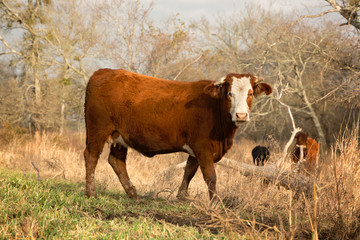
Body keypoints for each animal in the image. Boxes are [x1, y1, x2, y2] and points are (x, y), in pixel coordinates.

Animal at [83, 68, 272, 200]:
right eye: (229, 93)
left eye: (250, 93)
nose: (241, 115)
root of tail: (102, 72)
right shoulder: (202, 147)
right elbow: (210, 176)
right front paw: (216, 202)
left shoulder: (196, 149)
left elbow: (189, 171)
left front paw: (182, 196)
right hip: (97, 130)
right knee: (91, 156)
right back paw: (91, 193)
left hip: (120, 136)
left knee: (117, 161)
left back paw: (132, 193)